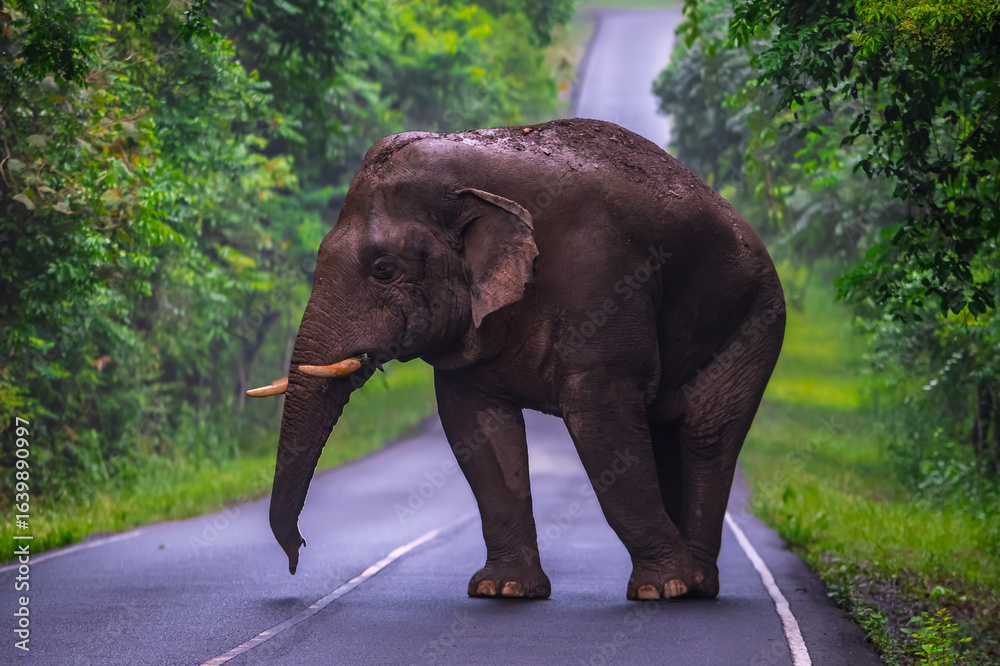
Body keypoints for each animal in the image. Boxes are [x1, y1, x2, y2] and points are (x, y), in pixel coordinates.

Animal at [247, 118, 785, 601]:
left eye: (384, 270)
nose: (298, 554)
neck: (469, 172)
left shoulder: (602, 282)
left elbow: (601, 418)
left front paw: (664, 589)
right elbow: (475, 426)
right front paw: (502, 590)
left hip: (755, 317)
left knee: (706, 434)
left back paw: (694, 588)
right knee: (665, 431)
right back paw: (696, 581)